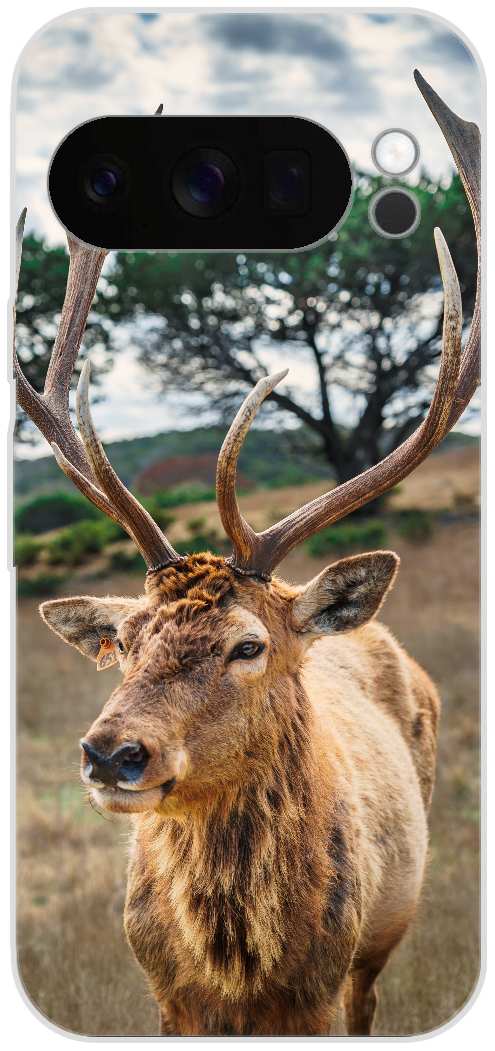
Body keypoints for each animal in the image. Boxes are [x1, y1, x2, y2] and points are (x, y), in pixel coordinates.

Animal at [14, 73, 479, 1036]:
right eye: (125, 641)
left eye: (248, 644)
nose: (111, 753)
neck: (238, 971)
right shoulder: (164, 997)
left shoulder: (325, 987)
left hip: (383, 940)